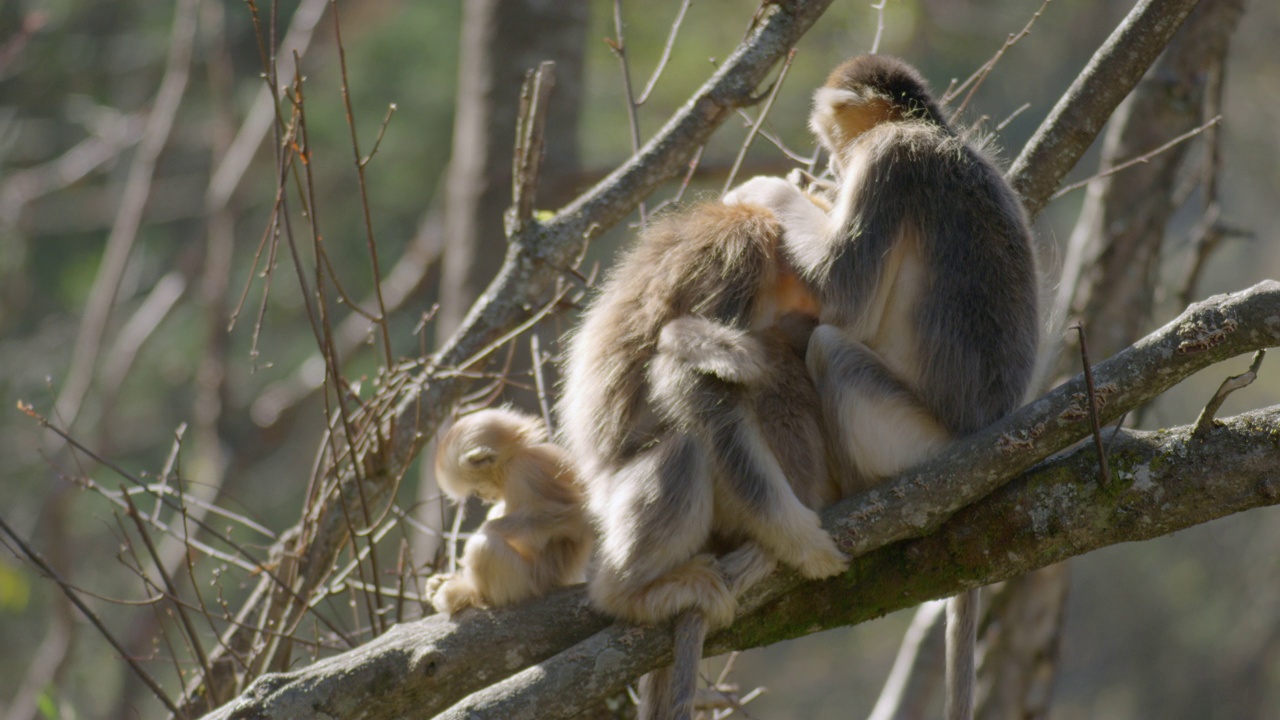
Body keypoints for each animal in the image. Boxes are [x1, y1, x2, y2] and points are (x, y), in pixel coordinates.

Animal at [427, 407, 591, 614]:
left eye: (477, 489)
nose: (483, 497)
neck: (515, 457)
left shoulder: (526, 471)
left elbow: (579, 516)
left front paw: (488, 528)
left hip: (530, 583)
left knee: (482, 547)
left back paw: (466, 593)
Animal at [732, 54, 1039, 717]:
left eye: (836, 143)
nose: (833, 165)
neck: (929, 128)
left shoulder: (889, 162)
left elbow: (841, 302)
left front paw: (765, 189)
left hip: (912, 443)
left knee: (830, 348)